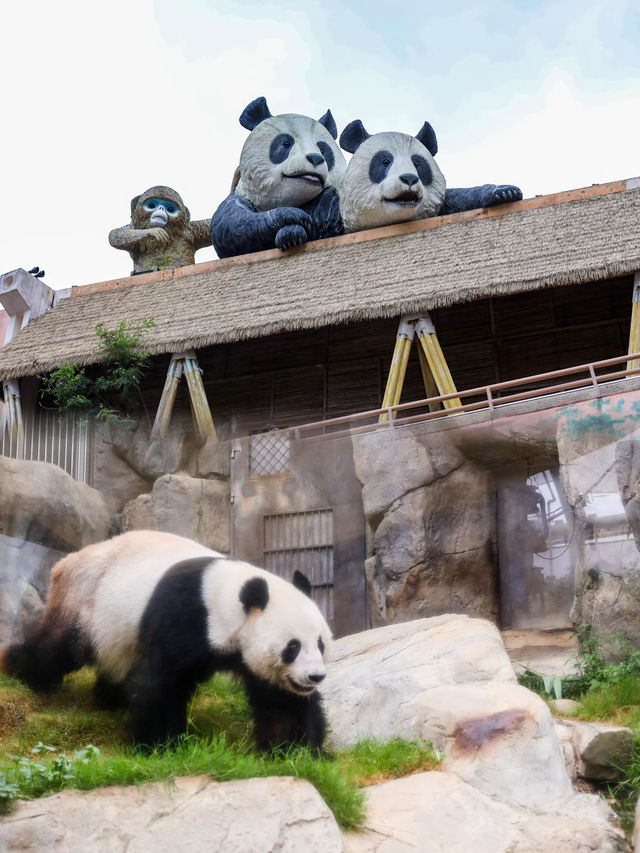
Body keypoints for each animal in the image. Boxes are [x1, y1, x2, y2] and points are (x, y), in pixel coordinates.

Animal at [3, 532, 336, 752]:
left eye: (320, 644)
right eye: (292, 646)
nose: (315, 677)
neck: (228, 598)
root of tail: (66, 561)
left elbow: (280, 700)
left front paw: (294, 749)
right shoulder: (185, 614)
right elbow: (162, 681)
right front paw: (160, 745)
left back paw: (108, 697)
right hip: (84, 597)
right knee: (59, 647)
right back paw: (23, 672)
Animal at [211, 95, 348, 256]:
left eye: (322, 149)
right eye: (286, 143)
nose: (315, 158)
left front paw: (295, 231)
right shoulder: (240, 196)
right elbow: (230, 228)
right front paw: (294, 218)